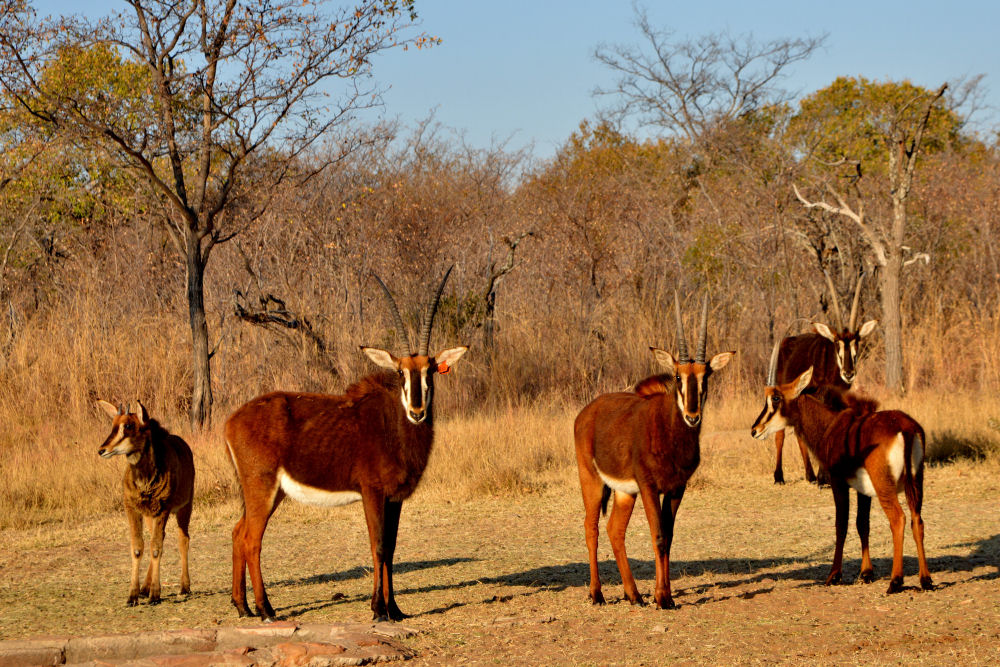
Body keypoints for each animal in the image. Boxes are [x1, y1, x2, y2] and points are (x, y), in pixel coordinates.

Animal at [96, 400, 194, 608]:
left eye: (128, 426)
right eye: (113, 423)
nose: (102, 450)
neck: (145, 477)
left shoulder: (164, 508)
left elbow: (156, 548)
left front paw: (155, 594)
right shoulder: (133, 509)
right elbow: (138, 548)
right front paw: (133, 595)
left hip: (184, 507)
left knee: (183, 539)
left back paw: (184, 587)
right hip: (150, 516)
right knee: (159, 538)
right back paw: (144, 589)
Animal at [229, 268, 470, 624]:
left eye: (430, 371)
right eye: (400, 372)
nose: (417, 412)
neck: (392, 425)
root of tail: (231, 420)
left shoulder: (394, 498)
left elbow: (392, 547)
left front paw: (395, 610)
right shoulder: (372, 492)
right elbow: (378, 546)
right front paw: (379, 610)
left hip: (267, 492)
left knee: (237, 532)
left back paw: (242, 606)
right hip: (262, 488)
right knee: (251, 540)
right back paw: (265, 610)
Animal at [576, 292, 732, 612]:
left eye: (706, 376)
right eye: (678, 376)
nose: (692, 416)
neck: (670, 434)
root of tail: (586, 413)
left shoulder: (676, 488)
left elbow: (669, 537)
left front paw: (665, 595)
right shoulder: (649, 486)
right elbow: (658, 535)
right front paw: (663, 598)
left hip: (624, 493)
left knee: (614, 530)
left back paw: (633, 595)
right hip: (592, 482)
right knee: (591, 528)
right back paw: (597, 594)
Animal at [752, 340, 932, 596]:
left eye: (775, 398)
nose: (755, 429)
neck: (832, 425)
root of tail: (906, 429)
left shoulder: (838, 482)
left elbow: (841, 525)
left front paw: (834, 575)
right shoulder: (864, 491)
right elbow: (862, 524)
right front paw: (866, 573)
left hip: (885, 486)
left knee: (898, 519)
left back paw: (896, 581)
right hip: (915, 483)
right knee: (918, 520)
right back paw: (926, 580)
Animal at [772, 272, 876, 486]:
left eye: (857, 341)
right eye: (837, 342)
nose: (848, 373)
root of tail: (787, 341)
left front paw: (825, 474)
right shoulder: (819, 395)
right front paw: (824, 477)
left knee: (799, 432)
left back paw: (810, 475)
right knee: (781, 434)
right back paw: (779, 476)